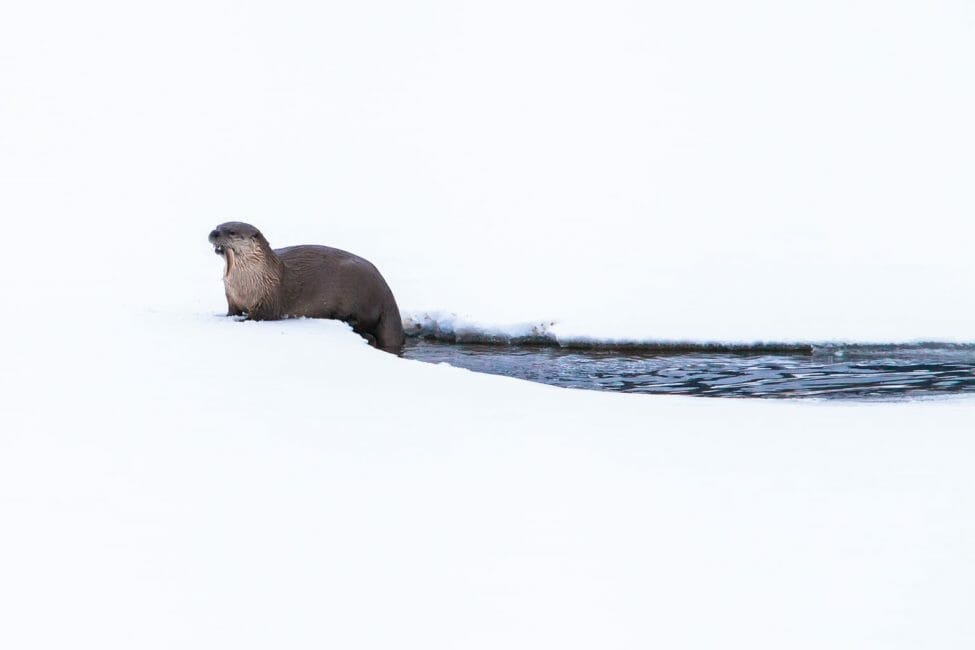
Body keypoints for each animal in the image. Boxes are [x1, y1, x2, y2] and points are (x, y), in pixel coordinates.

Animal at [208, 222, 405, 353]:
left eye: (232, 232)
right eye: (218, 225)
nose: (213, 232)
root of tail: (387, 293)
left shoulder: (269, 299)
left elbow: (261, 315)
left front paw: (241, 321)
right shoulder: (231, 297)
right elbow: (231, 311)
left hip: (359, 295)